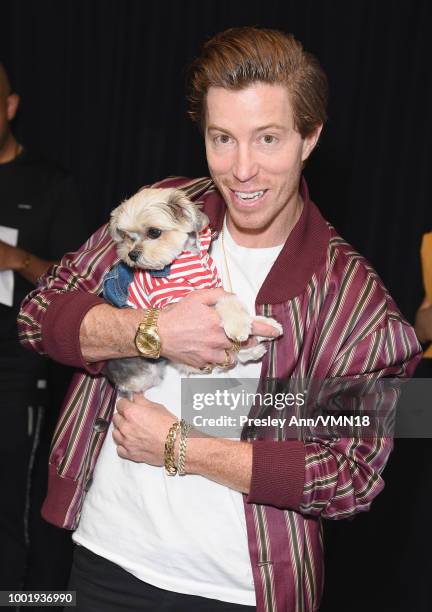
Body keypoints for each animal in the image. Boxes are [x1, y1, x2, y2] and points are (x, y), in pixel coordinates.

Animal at [103, 185, 282, 392]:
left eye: (154, 232)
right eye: (126, 236)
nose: (131, 255)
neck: (188, 258)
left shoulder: (212, 287)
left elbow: (229, 300)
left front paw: (262, 324)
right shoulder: (177, 300)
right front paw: (241, 332)